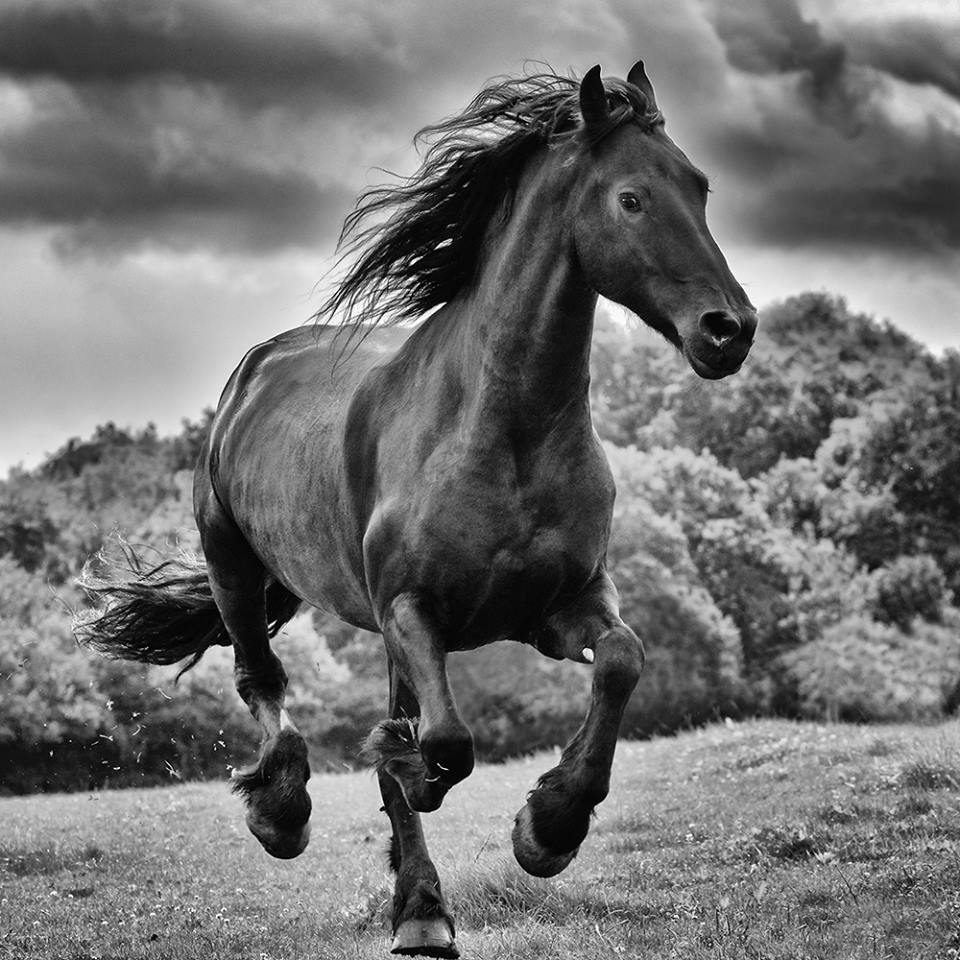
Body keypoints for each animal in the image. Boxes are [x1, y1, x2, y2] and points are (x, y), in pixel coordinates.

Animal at [79, 62, 757, 958]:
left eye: (701, 187)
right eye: (632, 199)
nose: (731, 329)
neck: (502, 430)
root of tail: (252, 372)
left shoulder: (561, 606)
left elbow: (620, 661)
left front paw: (548, 826)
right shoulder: (412, 607)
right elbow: (442, 745)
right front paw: (428, 785)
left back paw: (419, 902)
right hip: (237, 568)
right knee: (263, 680)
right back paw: (293, 820)